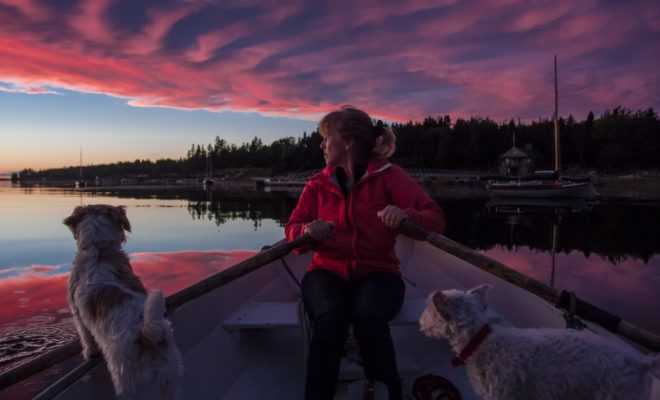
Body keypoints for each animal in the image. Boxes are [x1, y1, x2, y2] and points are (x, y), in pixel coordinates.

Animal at [65, 205, 183, 398]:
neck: (99, 248)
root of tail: (146, 335)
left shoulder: (77, 313)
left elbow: (86, 337)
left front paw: (90, 353)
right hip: (170, 375)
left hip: (127, 379)